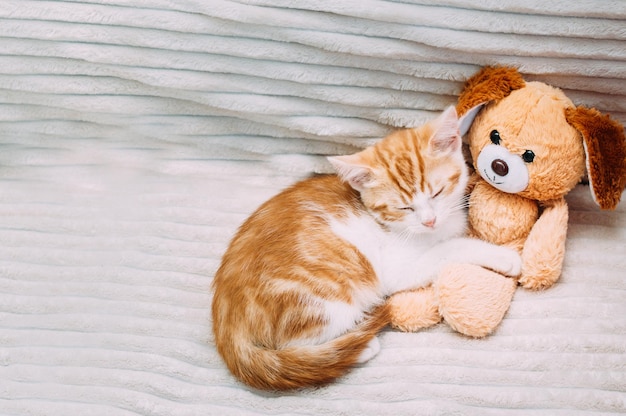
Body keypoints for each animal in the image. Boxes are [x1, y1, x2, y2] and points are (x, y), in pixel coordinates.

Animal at [212, 105, 520, 392]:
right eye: (403, 208)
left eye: (437, 192)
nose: (429, 220)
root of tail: (226, 324)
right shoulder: (398, 267)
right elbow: (450, 248)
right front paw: (503, 256)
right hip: (326, 295)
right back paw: (359, 347)